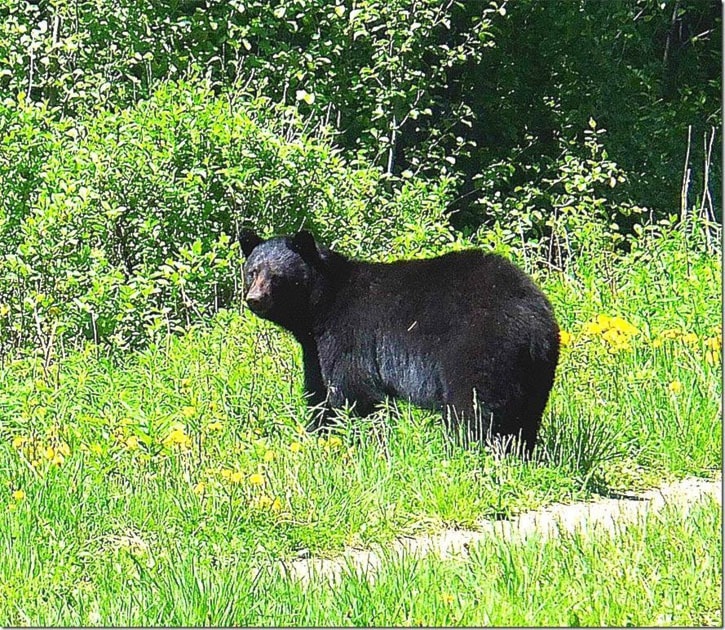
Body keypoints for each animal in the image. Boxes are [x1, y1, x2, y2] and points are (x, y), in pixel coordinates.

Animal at [240, 230, 556, 456]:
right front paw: (321, 435)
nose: (255, 299)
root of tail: (531, 314)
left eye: (277, 276)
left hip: (479, 347)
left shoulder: (348, 334)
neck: (320, 307)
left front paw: (357, 439)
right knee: (526, 413)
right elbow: (319, 391)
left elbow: (353, 389)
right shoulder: (315, 349)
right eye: (253, 272)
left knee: (475, 406)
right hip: (536, 367)